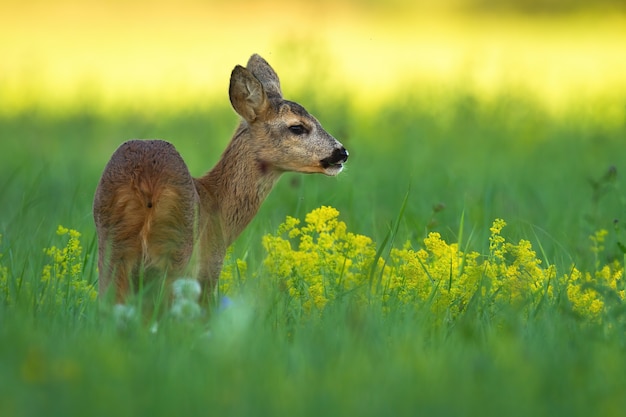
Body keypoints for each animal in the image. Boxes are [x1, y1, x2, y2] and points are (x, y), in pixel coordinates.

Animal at [92, 53, 346, 304]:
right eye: (297, 127)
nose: (342, 152)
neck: (217, 205)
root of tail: (145, 182)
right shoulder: (209, 267)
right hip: (178, 248)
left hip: (113, 249)